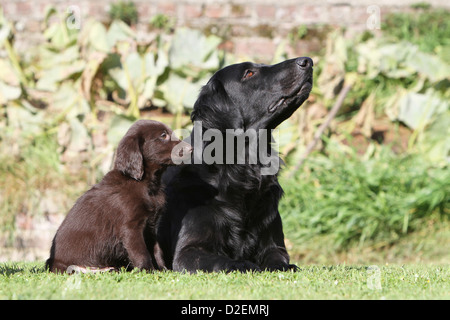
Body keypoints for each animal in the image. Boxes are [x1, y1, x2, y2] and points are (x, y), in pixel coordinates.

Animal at [45, 119, 192, 274]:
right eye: (163, 135)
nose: (191, 149)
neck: (144, 183)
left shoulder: (151, 226)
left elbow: (156, 250)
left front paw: (163, 269)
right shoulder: (130, 227)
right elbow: (141, 252)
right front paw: (147, 270)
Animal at [156, 56, 314, 272]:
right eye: (249, 73)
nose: (308, 61)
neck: (240, 170)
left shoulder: (274, 244)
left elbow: (278, 260)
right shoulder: (188, 252)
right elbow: (225, 260)